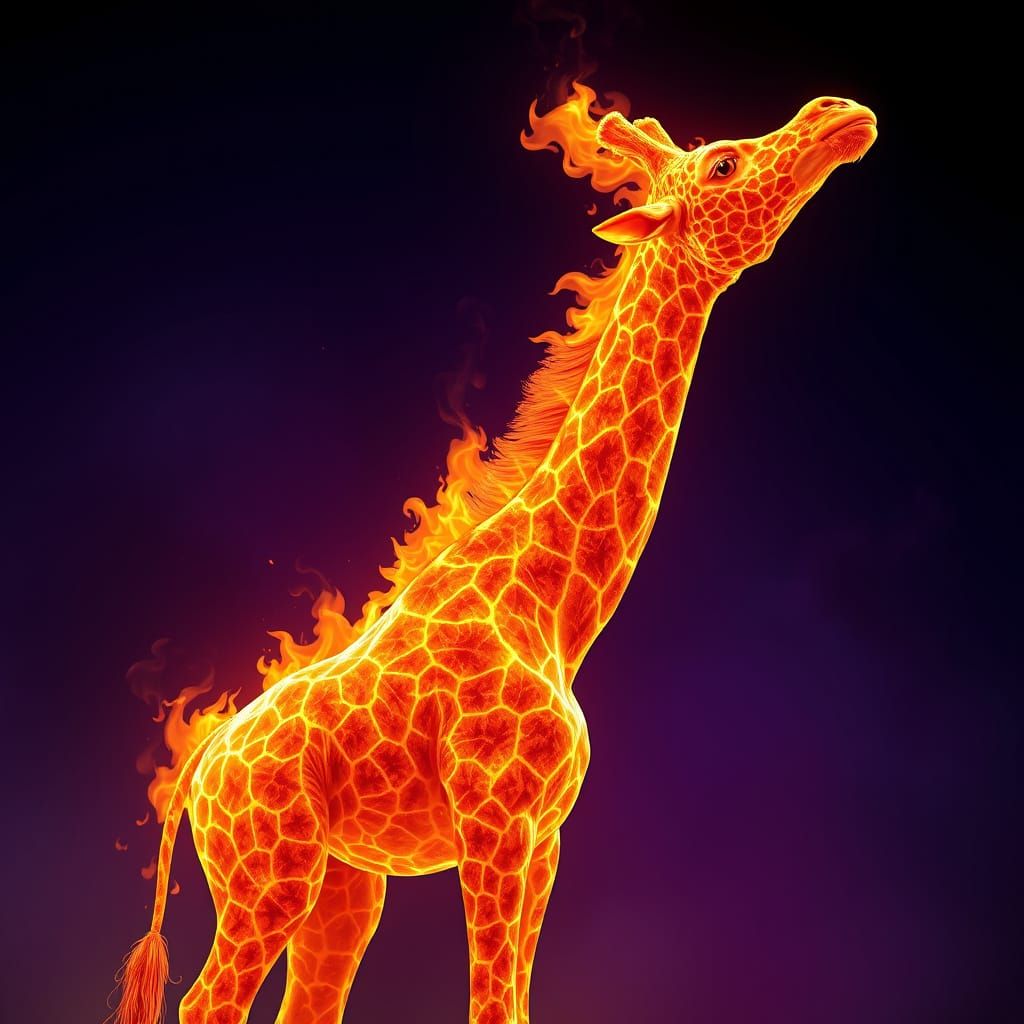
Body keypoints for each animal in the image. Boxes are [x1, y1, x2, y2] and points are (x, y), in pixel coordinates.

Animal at [110, 93, 876, 1024]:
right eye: (723, 162)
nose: (840, 113)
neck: (553, 608)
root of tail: (202, 758)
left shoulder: (545, 840)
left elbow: (515, 1003)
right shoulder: (494, 829)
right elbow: (488, 1004)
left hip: (346, 886)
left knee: (305, 1004)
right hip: (268, 869)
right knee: (208, 1001)